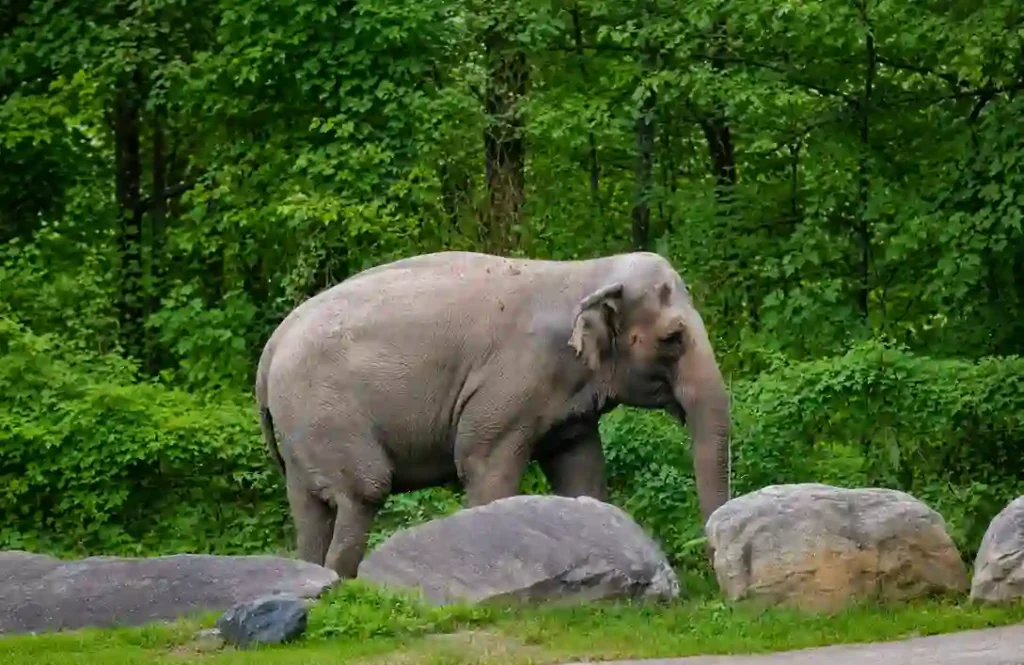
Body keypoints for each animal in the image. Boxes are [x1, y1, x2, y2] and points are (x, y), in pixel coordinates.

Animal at [255, 250, 731, 578]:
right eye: (673, 338)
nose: (711, 574)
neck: (585, 272)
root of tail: (271, 347)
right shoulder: (508, 386)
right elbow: (486, 469)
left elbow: (581, 473)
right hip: (327, 413)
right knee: (363, 492)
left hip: (300, 430)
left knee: (310, 511)